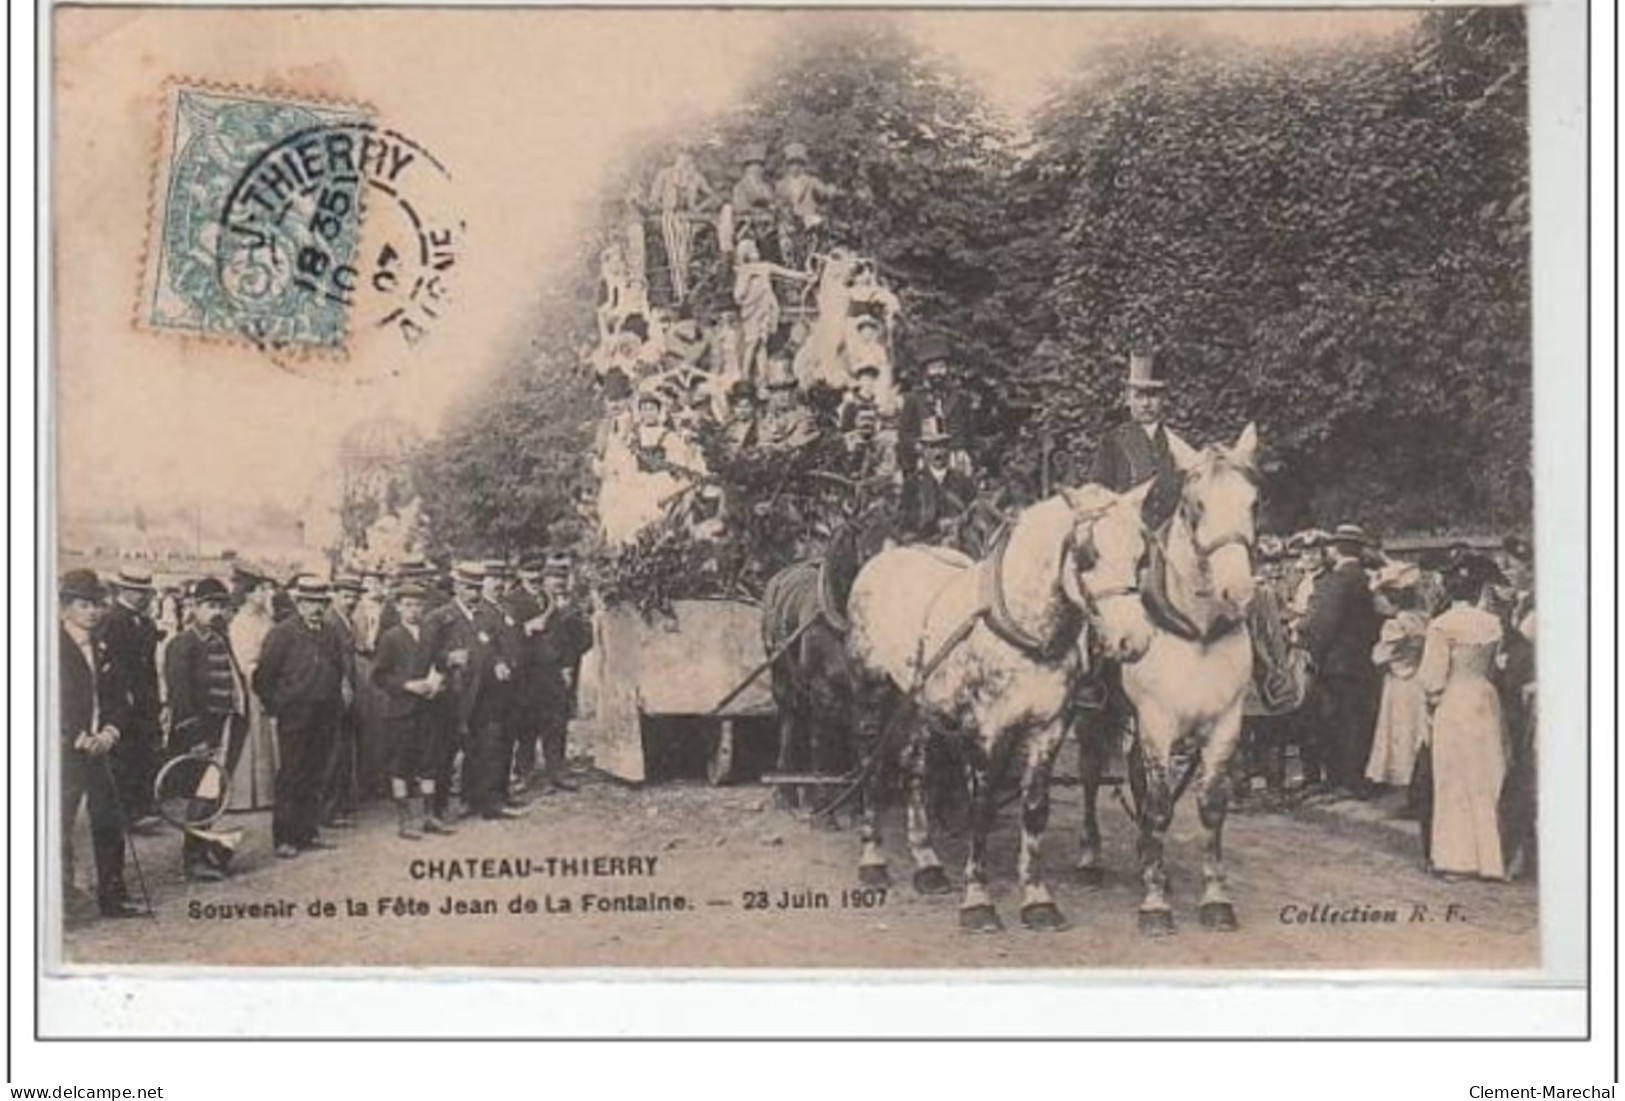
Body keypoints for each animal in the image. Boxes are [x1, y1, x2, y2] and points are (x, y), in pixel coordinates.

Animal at [845, 483, 1163, 928]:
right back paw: (872, 860)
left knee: (915, 769)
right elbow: (981, 809)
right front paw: (978, 900)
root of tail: (887, 555)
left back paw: (927, 864)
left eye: (1141, 554)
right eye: (1087, 554)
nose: (1133, 641)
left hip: (921, 704)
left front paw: (1037, 899)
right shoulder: (986, 733)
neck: (1025, 630)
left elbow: (1035, 809)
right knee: (871, 763)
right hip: (869, 692)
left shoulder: (1048, 730)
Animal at [1092, 422, 1254, 941]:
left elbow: (1210, 807)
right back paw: (1092, 856)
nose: (1238, 590)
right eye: (1196, 504)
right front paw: (1155, 904)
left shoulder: (1225, 723)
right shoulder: (1157, 723)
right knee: (1090, 775)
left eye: (1254, 501)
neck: (1198, 630)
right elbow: (1162, 805)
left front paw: (1215, 898)